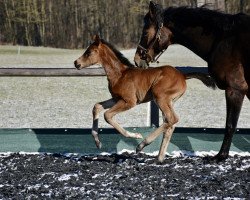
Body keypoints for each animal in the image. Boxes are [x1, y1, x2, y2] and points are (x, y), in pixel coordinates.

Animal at [73, 34, 215, 162]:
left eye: (89, 52)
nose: (76, 63)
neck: (120, 75)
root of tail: (182, 75)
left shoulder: (129, 101)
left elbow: (107, 115)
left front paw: (135, 135)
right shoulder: (116, 99)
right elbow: (97, 107)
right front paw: (98, 142)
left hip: (160, 97)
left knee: (171, 119)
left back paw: (141, 145)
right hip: (169, 101)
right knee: (170, 123)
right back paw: (159, 158)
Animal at [135, 1, 250, 162]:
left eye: (145, 32)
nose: (137, 59)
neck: (224, 39)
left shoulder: (235, 90)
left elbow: (230, 124)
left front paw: (221, 155)